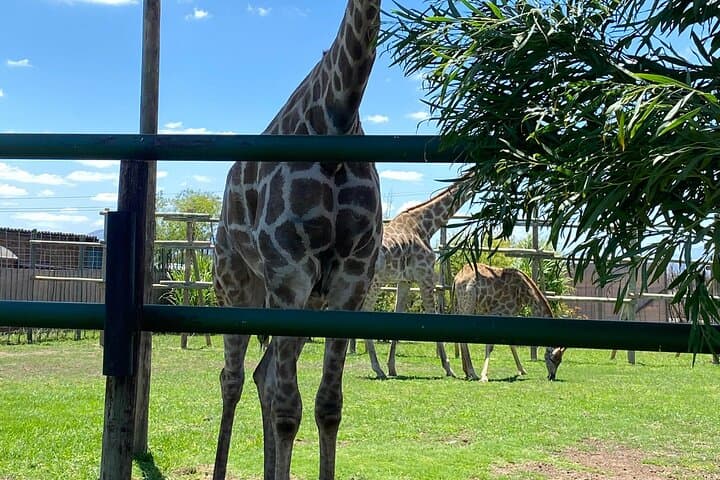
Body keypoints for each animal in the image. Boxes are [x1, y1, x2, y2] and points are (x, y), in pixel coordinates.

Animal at [212, 1, 382, 479]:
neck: (337, 117)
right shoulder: (290, 270)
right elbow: (290, 410)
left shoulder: (351, 279)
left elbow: (329, 405)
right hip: (236, 285)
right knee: (233, 379)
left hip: (305, 302)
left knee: (263, 376)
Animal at [360, 176, 471, 379]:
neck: (426, 226)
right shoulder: (425, 276)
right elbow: (433, 315)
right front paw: (449, 368)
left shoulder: (405, 281)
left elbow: (399, 315)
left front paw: (392, 367)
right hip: (374, 282)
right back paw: (377, 369)